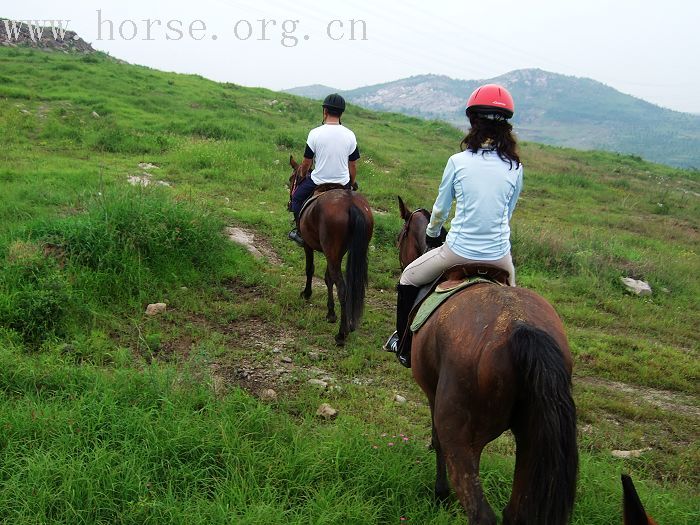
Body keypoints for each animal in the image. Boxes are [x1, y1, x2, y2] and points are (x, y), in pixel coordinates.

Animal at [288, 156, 374, 344]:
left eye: (291, 180)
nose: (290, 203)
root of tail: (350, 204)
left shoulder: (309, 245)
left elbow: (310, 269)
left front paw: (307, 293)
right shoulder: (334, 253)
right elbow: (328, 278)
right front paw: (330, 313)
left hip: (330, 250)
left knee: (342, 288)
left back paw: (341, 334)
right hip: (346, 252)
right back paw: (350, 323)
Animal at [396, 196, 576, 524]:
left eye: (401, 236)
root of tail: (520, 328)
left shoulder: (432, 392)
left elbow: (437, 439)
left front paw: (439, 493)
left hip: (463, 435)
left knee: (481, 512)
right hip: (533, 440)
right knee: (515, 512)